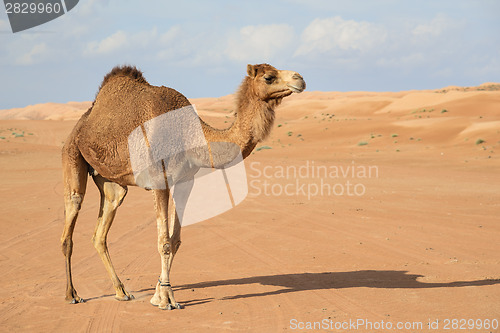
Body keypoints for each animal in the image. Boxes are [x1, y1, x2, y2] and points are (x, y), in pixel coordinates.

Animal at [61, 63, 306, 308]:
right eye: (269, 77)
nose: (300, 79)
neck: (189, 134)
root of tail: (82, 123)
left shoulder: (185, 182)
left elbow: (175, 240)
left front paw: (158, 293)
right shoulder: (159, 180)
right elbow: (163, 242)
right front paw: (166, 299)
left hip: (111, 182)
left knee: (101, 230)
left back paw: (121, 291)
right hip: (72, 154)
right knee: (71, 217)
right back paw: (72, 294)